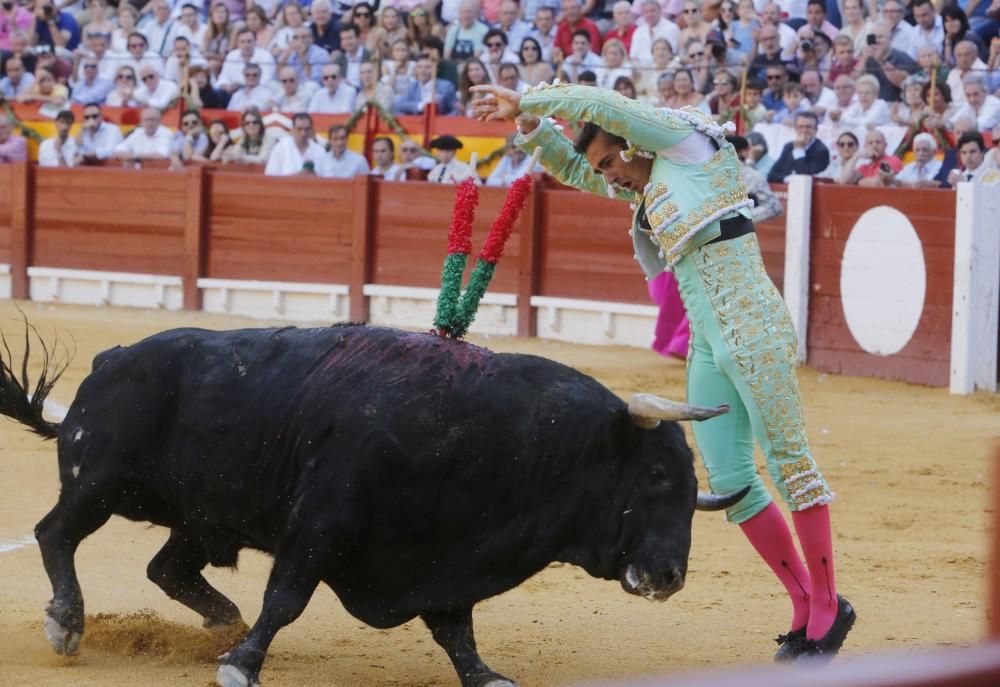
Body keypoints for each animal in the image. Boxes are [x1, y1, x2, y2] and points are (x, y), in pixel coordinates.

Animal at [0, 324, 748, 687]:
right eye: (656, 475)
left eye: (691, 489)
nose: (669, 575)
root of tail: (111, 357)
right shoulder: (319, 525)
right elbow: (287, 599)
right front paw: (243, 664)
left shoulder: (450, 555)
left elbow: (456, 628)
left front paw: (486, 676)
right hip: (100, 482)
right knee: (55, 532)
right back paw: (67, 623)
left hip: (204, 513)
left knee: (168, 567)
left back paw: (219, 620)